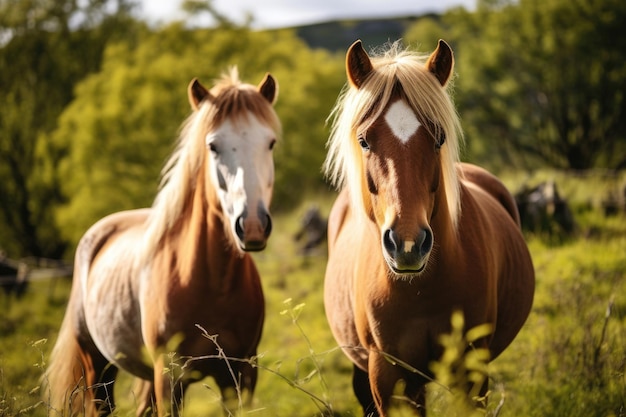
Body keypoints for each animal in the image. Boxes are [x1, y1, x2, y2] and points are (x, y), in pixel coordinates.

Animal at [44, 69, 278, 416]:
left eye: (270, 143)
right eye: (213, 146)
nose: (251, 226)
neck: (210, 281)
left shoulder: (241, 374)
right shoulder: (169, 378)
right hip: (97, 368)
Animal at [322, 39, 532, 416]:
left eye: (439, 138)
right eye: (364, 141)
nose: (407, 244)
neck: (420, 290)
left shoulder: (471, 373)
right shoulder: (387, 377)